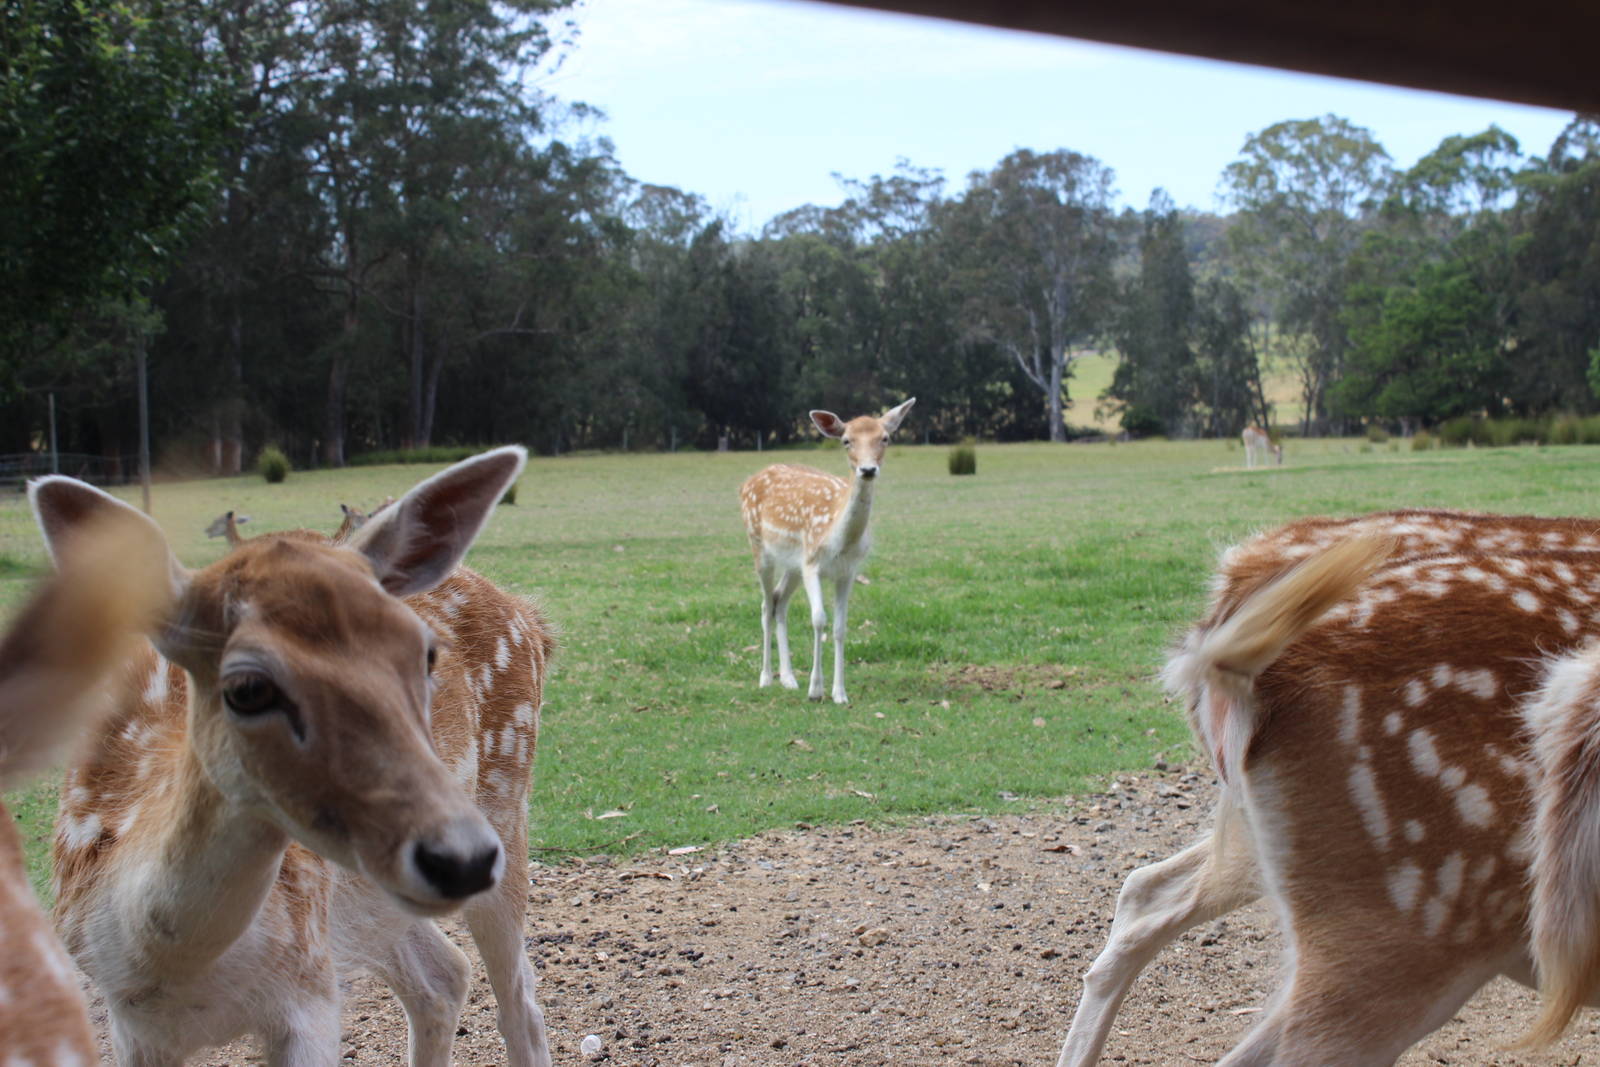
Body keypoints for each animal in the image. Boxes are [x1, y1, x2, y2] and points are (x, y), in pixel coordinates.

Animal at [35, 446, 559, 1066]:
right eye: (247, 688)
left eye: (426, 653)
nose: (461, 856)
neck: (176, 969)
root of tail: (532, 618)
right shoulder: (127, 1021)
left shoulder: (309, 994)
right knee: (444, 975)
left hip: (505, 801)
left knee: (519, 999)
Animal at [739, 398, 914, 704]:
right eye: (846, 440)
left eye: (885, 438)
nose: (867, 470)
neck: (839, 541)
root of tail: (746, 483)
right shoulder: (812, 564)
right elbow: (819, 620)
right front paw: (816, 690)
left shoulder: (847, 571)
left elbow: (840, 627)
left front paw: (840, 693)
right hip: (759, 546)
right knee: (765, 603)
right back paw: (766, 678)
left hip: (793, 564)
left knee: (779, 600)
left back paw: (788, 678)